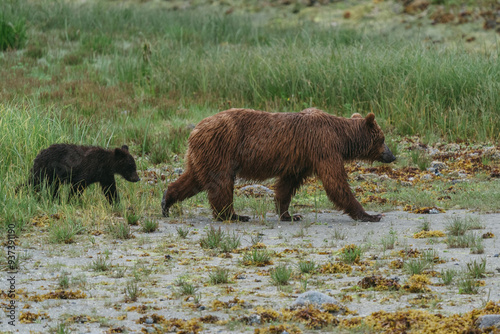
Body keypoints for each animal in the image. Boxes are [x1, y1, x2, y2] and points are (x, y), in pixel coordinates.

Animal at [162, 109, 396, 222]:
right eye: (382, 139)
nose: (392, 156)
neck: (341, 137)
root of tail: (195, 130)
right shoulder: (323, 146)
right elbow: (335, 182)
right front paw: (370, 215)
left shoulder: (301, 159)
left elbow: (286, 185)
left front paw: (289, 214)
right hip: (222, 148)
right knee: (221, 183)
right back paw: (234, 215)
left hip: (204, 155)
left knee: (194, 179)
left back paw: (166, 201)